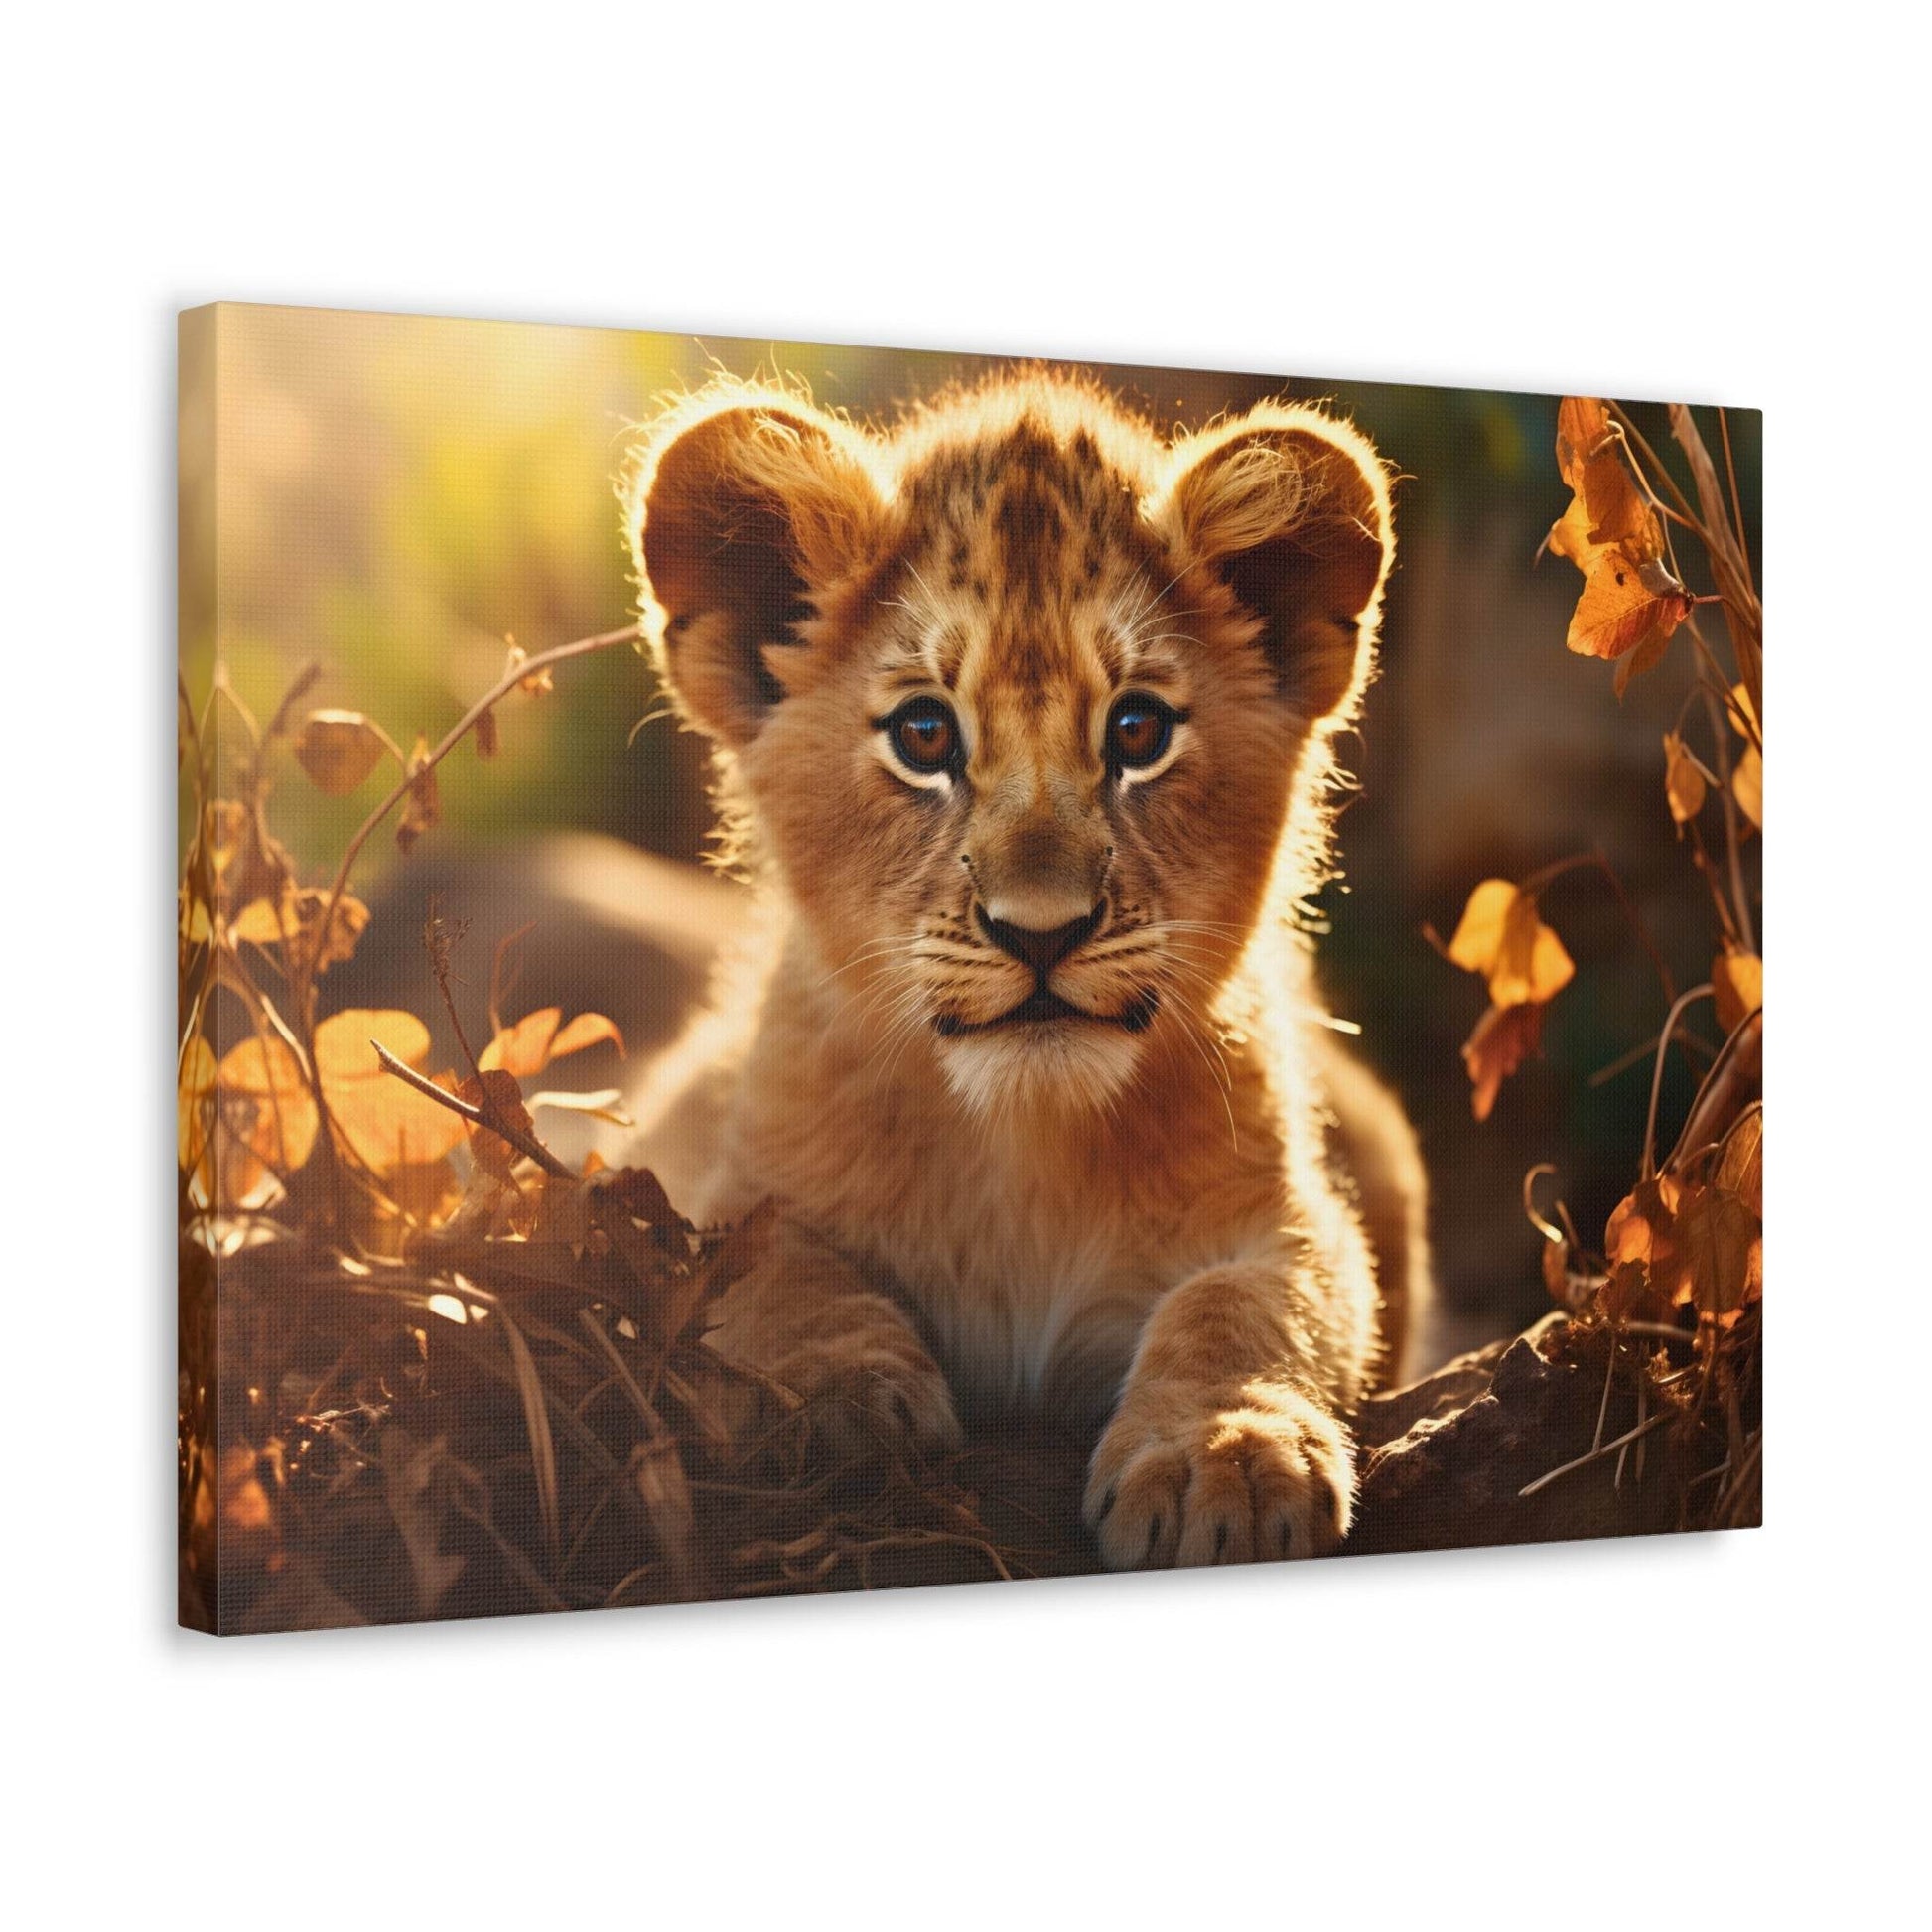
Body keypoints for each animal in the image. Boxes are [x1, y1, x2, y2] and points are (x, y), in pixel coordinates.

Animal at [622, 368, 1431, 1568]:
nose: (1040, 931)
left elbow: (1249, 1305)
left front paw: (1225, 1454)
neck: (1022, 1147)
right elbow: (766, 1265)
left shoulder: (1291, 1214)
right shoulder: (703, 1170)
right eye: (924, 734)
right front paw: (831, 1400)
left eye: (1137, 731)